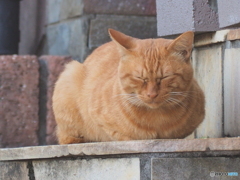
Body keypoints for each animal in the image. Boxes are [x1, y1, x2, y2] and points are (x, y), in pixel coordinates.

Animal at [52, 28, 204, 144]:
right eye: (139, 77)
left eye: (165, 77)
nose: (152, 94)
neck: (157, 120)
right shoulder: (98, 119)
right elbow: (120, 135)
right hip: (70, 74)